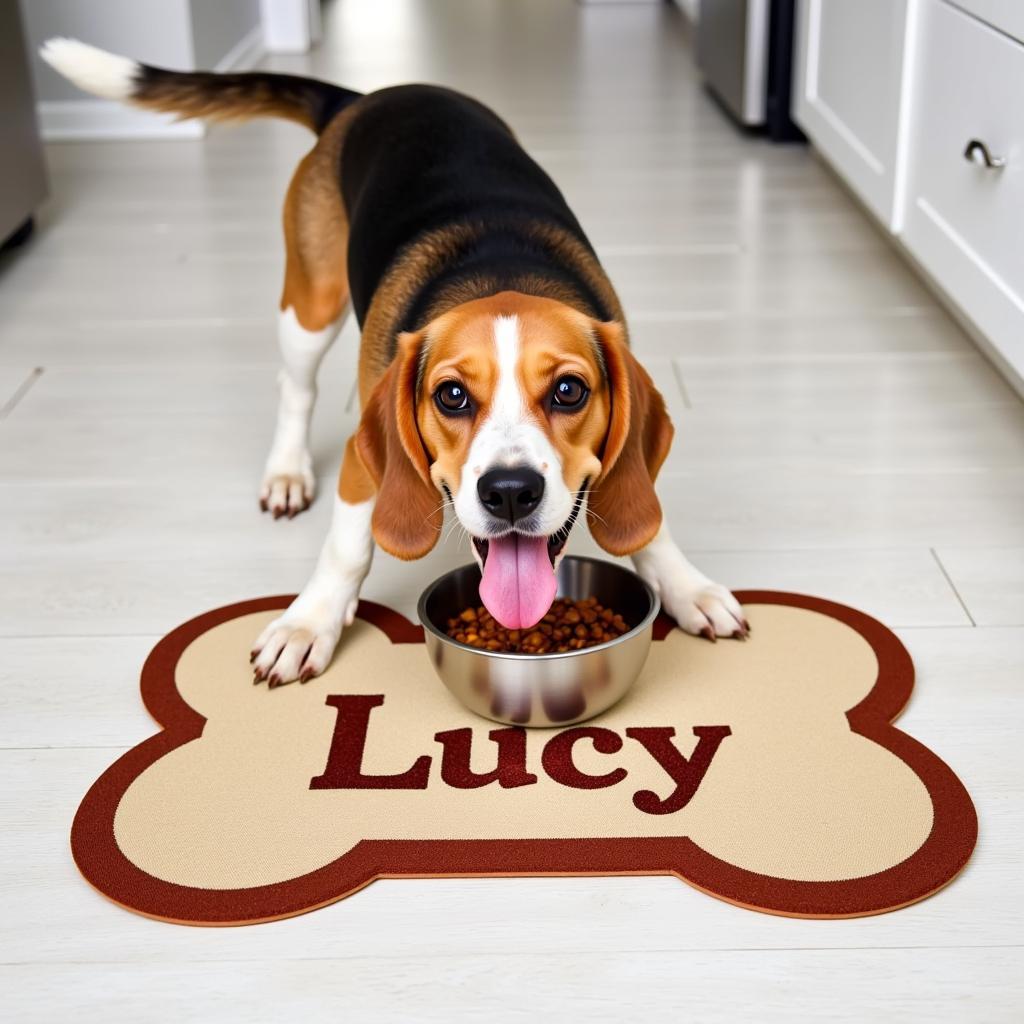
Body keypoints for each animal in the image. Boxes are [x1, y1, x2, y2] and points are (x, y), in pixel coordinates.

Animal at [44, 37, 749, 688]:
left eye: (570, 391)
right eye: (452, 396)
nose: (510, 492)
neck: (503, 269)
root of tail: (363, 99)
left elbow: (650, 523)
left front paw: (686, 587)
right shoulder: (364, 462)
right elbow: (346, 547)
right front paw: (309, 623)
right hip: (310, 305)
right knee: (294, 386)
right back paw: (287, 472)